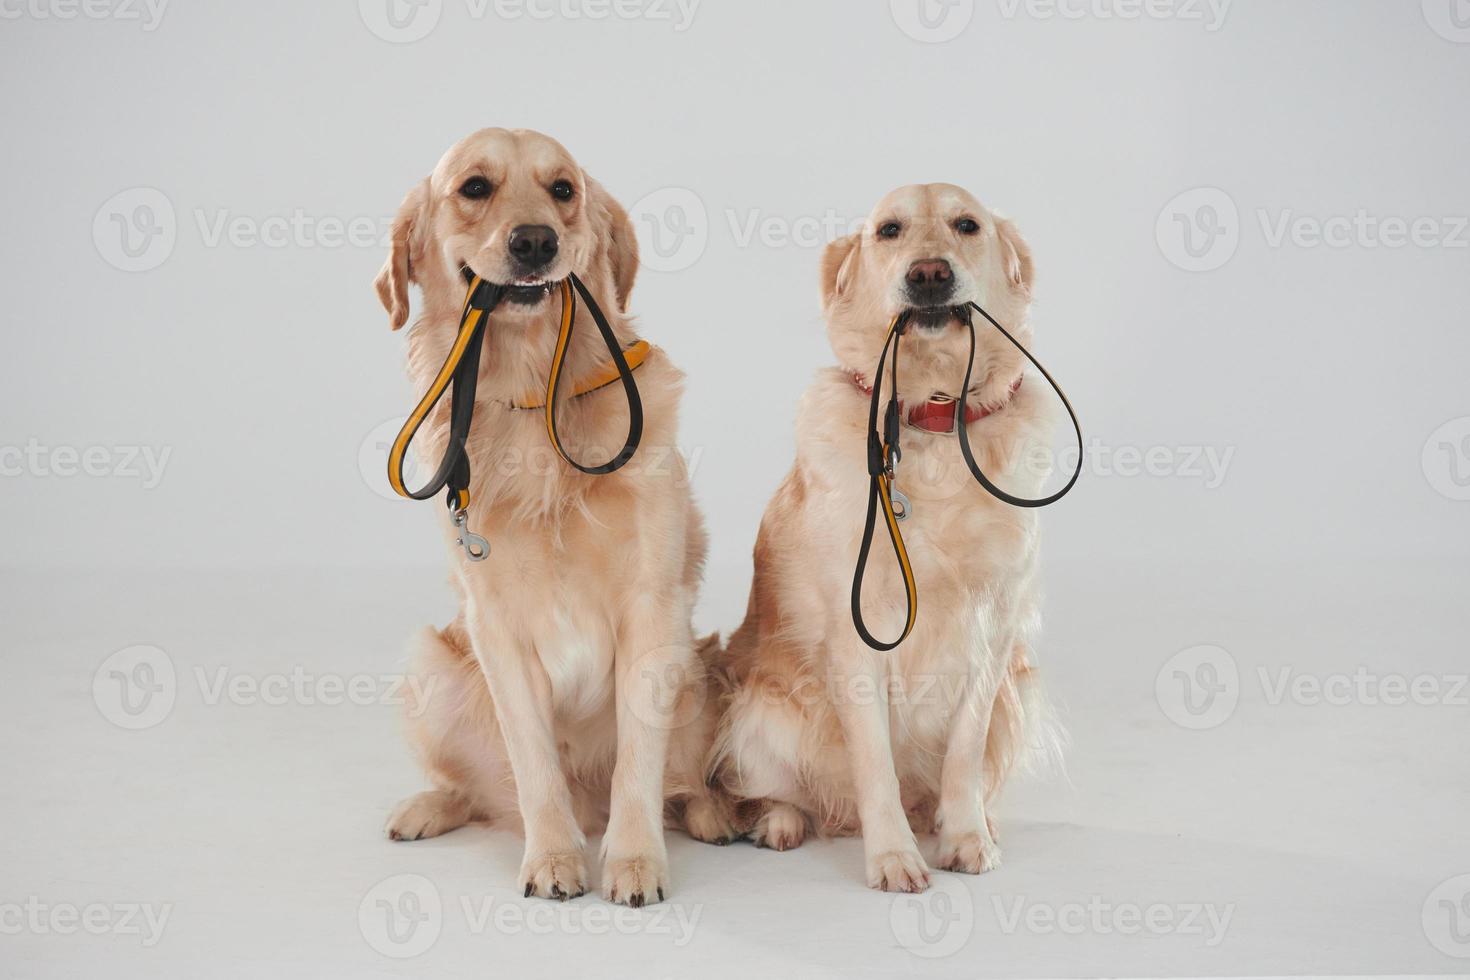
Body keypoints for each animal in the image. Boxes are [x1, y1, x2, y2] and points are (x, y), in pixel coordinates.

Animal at [708, 183, 1064, 899]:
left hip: (1020, 685)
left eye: (966, 224)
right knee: (780, 790)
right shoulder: (858, 631)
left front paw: (965, 838)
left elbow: (962, 753)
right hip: (761, 707)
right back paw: (780, 822)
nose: (928, 274)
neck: (931, 418)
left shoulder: (993, 628)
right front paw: (894, 857)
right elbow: (875, 765)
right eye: (889, 231)